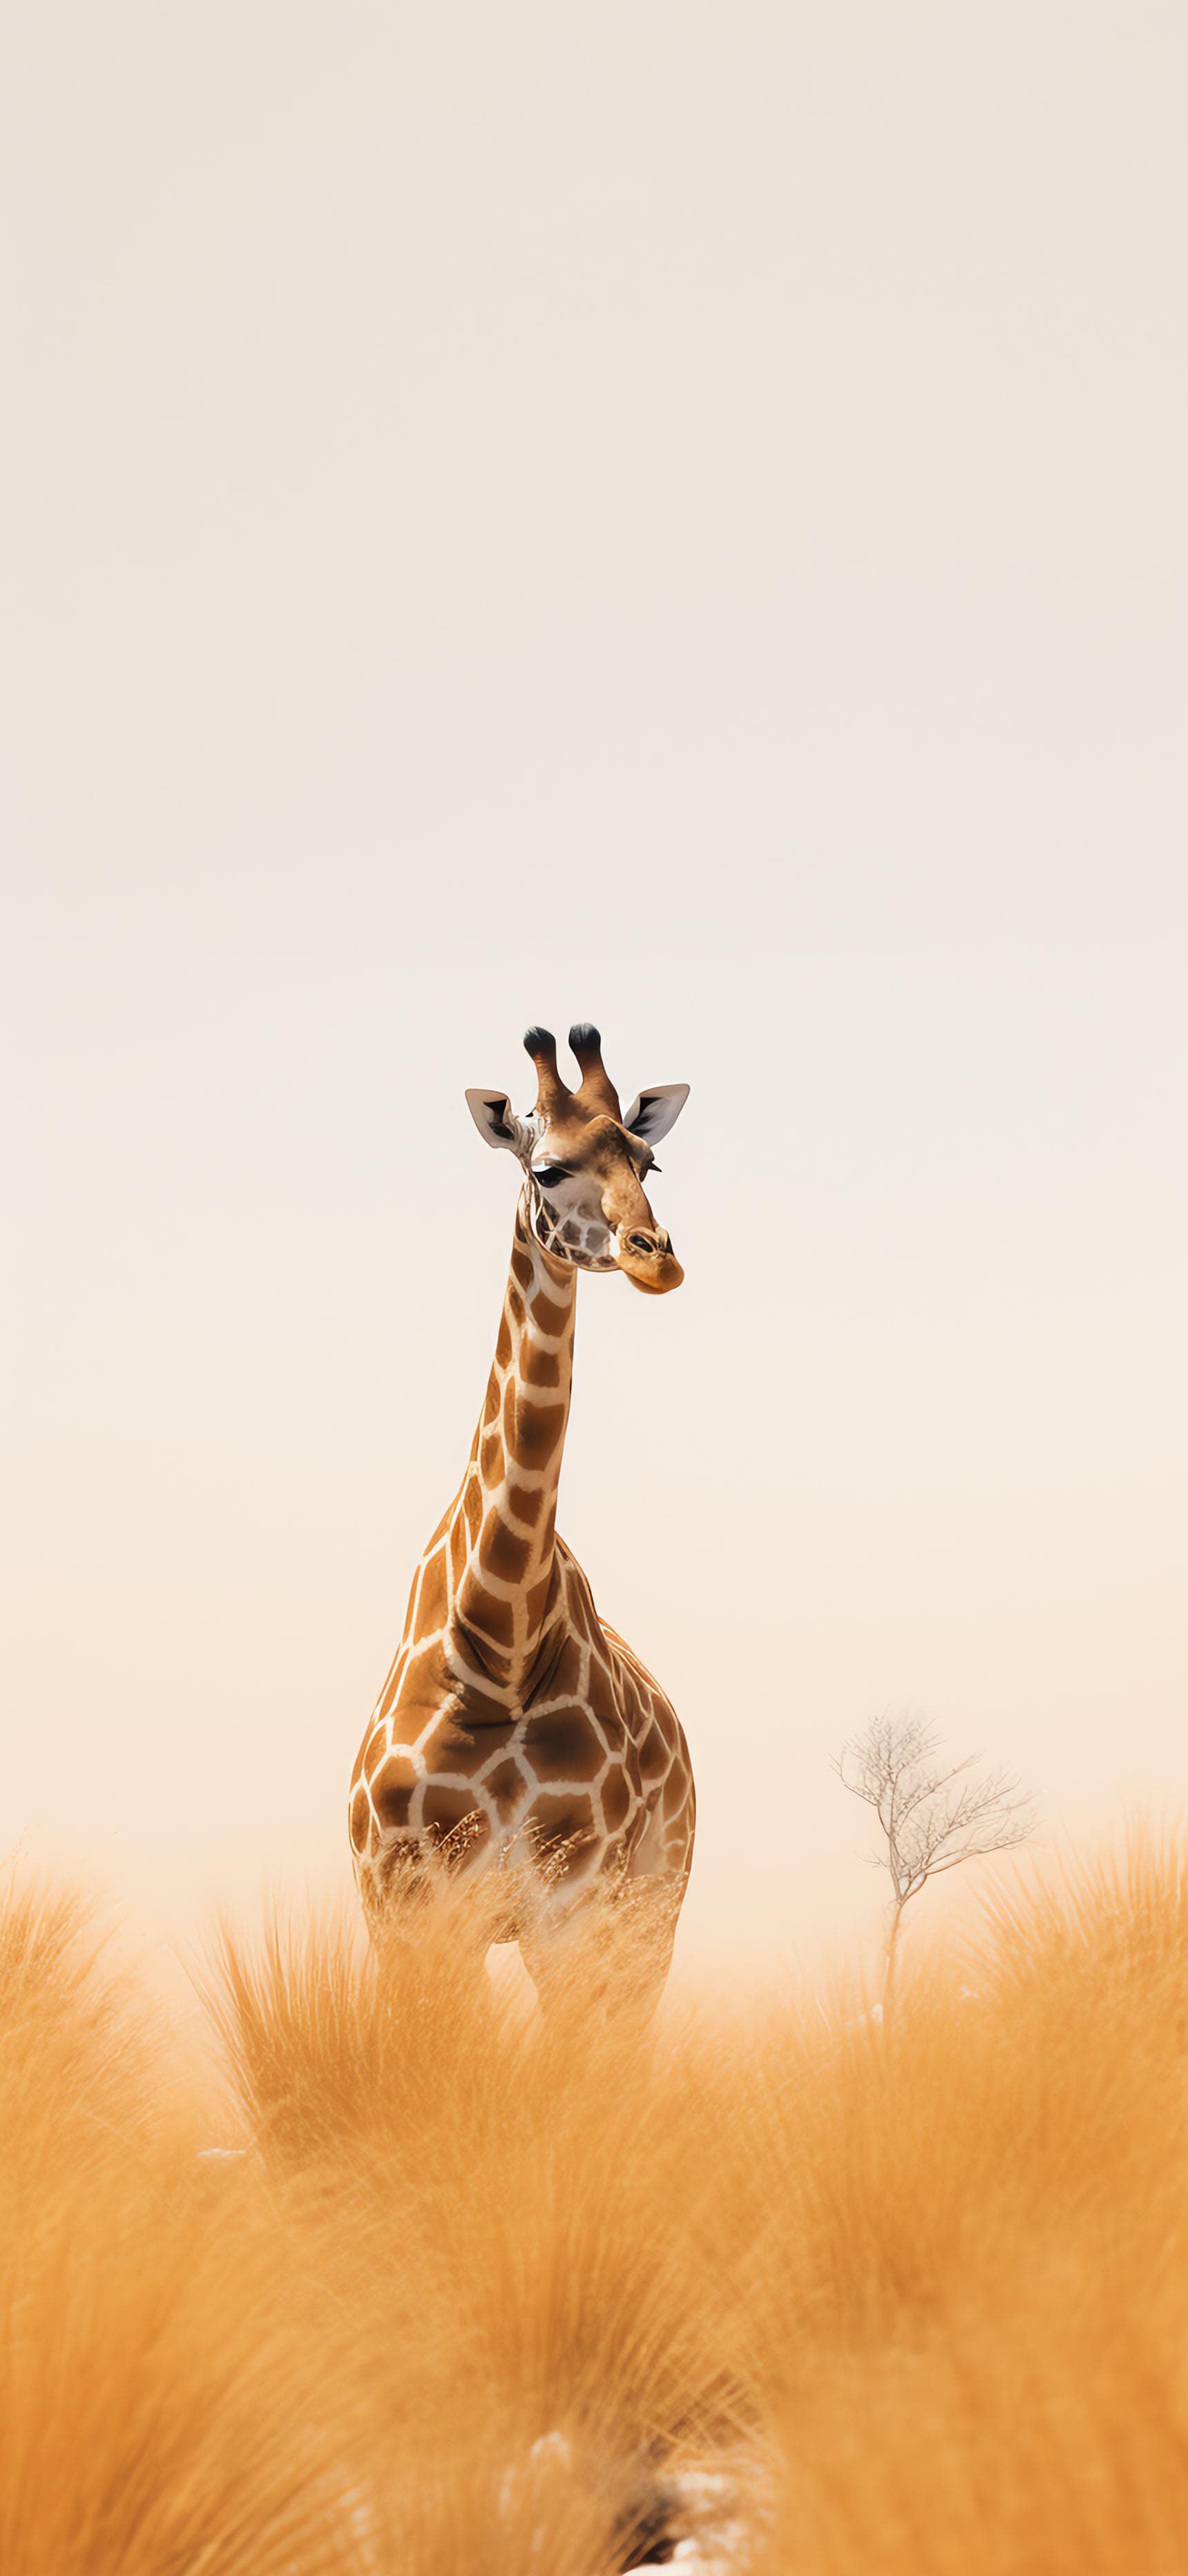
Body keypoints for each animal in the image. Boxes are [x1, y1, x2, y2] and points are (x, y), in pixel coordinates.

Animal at [348, 1022, 695, 2005]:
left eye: (649, 1160)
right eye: (546, 1168)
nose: (655, 1255)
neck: (496, 1641)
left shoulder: (572, 1912)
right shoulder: (408, 1916)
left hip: (651, 1912)